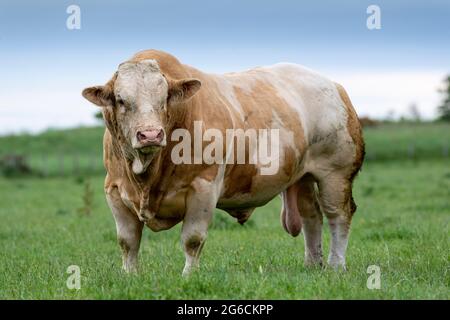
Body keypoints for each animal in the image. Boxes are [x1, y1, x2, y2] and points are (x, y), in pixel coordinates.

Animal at [82, 49, 366, 276]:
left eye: (164, 100)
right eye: (121, 100)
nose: (150, 134)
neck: (147, 176)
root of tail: (333, 85)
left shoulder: (204, 188)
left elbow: (192, 239)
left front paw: (188, 276)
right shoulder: (114, 190)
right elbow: (127, 241)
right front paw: (129, 276)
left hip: (335, 173)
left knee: (338, 215)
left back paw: (336, 266)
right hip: (303, 176)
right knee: (311, 216)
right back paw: (312, 264)